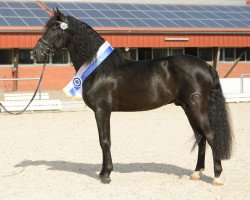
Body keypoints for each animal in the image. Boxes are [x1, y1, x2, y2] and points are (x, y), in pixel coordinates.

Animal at [32, 9, 233, 184]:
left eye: (54, 28)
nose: (35, 53)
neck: (100, 68)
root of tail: (207, 66)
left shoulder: (102, 110)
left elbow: (104, 141)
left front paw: (106, 175)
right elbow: (104, 141)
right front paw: (104, 172)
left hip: (197, 108)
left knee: (210, 135)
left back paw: (217, 176)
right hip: (187, 108)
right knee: (200, 137)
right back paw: (196, 172)